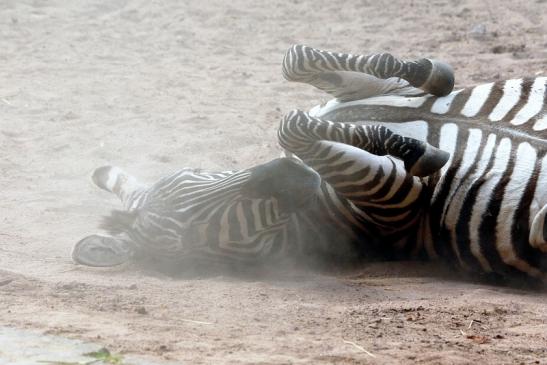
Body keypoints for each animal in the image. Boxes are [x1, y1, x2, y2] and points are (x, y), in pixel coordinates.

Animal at [74, 44, 547, 282]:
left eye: (197, 176)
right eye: (198, 235)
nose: (290, 173)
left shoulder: (362, 95)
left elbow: (295, 62)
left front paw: (429, 73)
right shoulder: (400, 202)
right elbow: (291, 125)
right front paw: (411, 148)